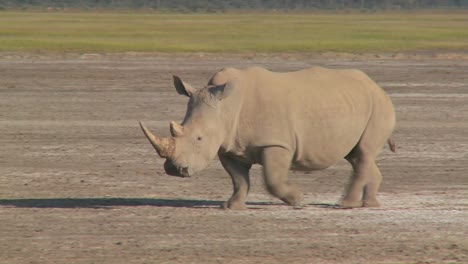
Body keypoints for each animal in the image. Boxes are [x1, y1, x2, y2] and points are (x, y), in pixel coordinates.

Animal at [140, 66, 394, 210]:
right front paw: (231, 207)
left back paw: (345, 205)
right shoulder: (228, 146)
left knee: (363, 154)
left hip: (379, 106)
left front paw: (297, 200)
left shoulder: (276, 143)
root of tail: (377, 86)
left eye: (199, 139)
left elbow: (272, 178)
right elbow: (239, 179)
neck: (226, 107)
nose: (174, 170)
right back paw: (369, 204)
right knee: (358, 156)